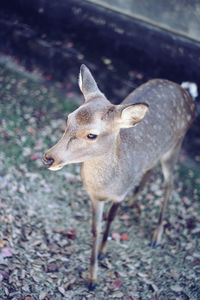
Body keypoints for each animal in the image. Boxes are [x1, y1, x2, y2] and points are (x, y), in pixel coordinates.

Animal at [41, 64, 195, 290]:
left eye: (92, 134)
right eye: (68, 119)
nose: (48, 158)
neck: (106, 184)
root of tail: (187, 92)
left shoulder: (119, 193)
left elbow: (111, 219)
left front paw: (102, 254)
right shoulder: (94, 197)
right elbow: (94, 229)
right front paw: (92, 277)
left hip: (176, 145)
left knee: (170, 184)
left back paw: (156, 236)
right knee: (151, 169)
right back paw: (135, 201)